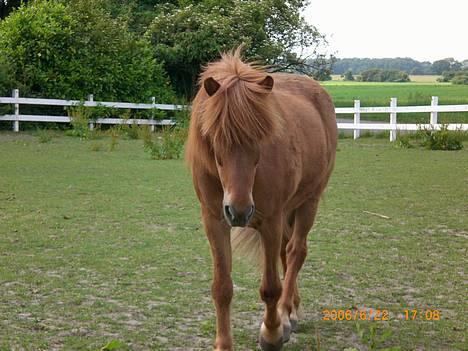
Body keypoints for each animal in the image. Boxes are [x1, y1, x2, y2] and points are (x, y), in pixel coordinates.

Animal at [186, 48, 336, 350]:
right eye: (216, 139)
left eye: (260, 138)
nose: (239, 211)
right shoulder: (214, 220)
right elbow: (222, 288)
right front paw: (224, 344)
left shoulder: (270, 219)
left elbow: (270, 288)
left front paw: (272, 333)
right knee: (286, 252)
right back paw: (293, 310)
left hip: (308, 202)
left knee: (295, 251)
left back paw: (286, 315)